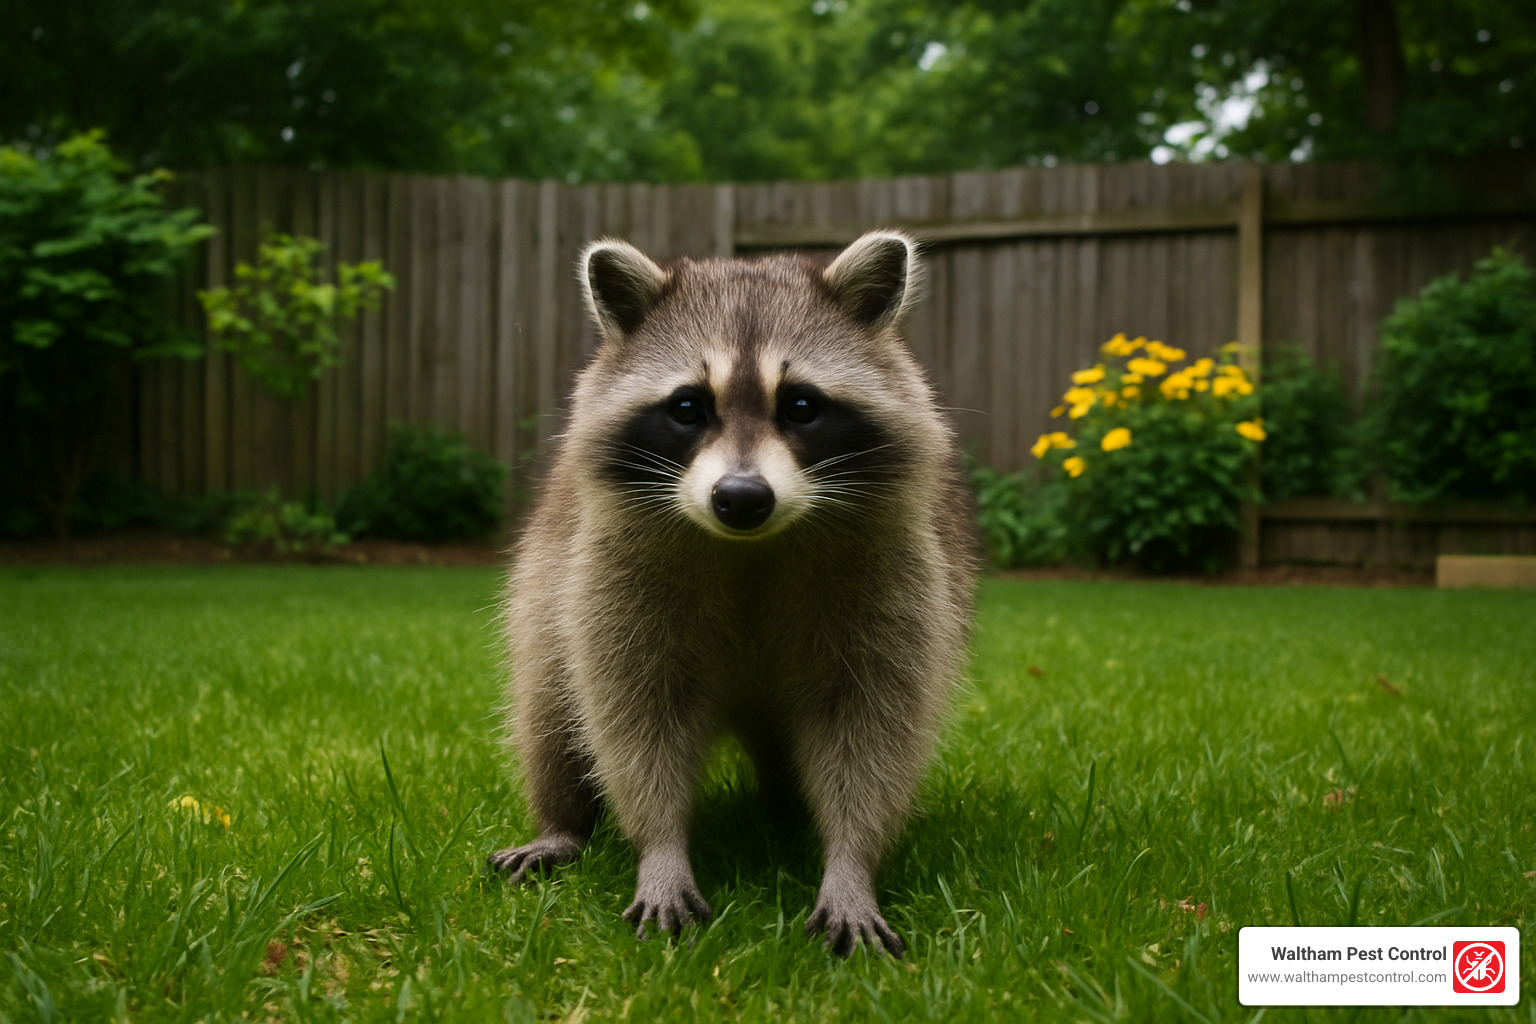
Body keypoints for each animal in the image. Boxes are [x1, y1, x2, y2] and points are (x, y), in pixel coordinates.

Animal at [488, 230, 977, 957]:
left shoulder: (899, 572)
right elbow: (635, 716)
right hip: (548, 587)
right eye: (688, 407)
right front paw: (660, 848)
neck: (752, 545)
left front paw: (851, 861)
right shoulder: (611, 575)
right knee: (549, 706)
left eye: (801, 406)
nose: (742, 498)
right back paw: (562, 825)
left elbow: (872, 721)